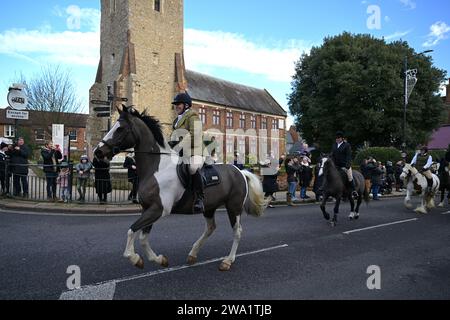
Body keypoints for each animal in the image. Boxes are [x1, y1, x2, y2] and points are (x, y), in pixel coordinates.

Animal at [94, 106, 268, 272]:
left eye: (120, 129)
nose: (98, 151)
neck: (157, 168)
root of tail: (240, 171)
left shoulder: (158, 209)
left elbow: (132, 231)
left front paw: (134, 257)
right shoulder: (148, 208)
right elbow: (143, 238)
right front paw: (158, 259)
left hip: (234, 207)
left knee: (237, 232)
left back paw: (227, 261)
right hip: (209, 207)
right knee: (210, 228)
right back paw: (193, 254)